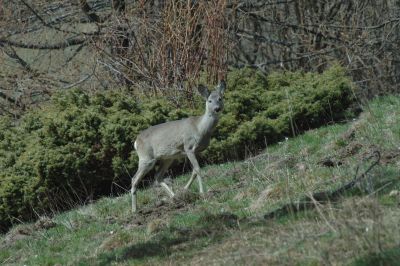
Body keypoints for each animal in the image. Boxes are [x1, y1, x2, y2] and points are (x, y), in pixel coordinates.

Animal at [131, 80, 225, 212]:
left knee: (157, 177)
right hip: (146, 158)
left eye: (220, 98)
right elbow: (198, 169)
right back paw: (134, 210)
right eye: (209, 100)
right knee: (135, 179)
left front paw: (185, 190)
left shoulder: (197, 151)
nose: (217, 108)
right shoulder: (188, 147)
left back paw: (175, 197)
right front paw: (202, 193)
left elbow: (194, 171)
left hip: (168, 158)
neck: (200, 128)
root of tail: (136, 142)